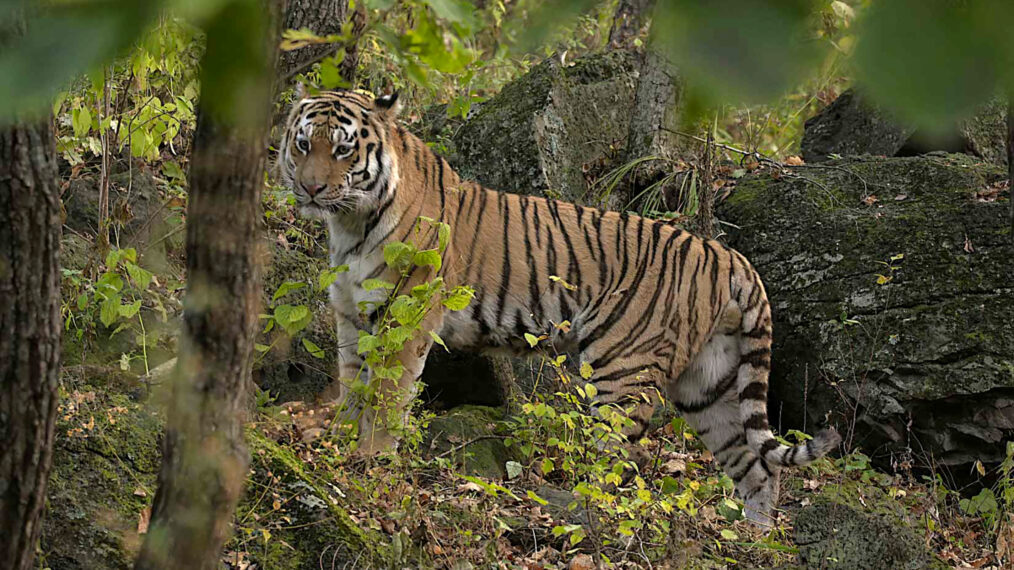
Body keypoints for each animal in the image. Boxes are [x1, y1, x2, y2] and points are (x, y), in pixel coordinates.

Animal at [277, 87, 839, 519]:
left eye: (344, 151)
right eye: (303, 144)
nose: (311, 188)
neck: (349, 223)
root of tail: (729, 256)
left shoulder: (406, 315)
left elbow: (386, 395)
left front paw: (369, 461)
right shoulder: (352, 314)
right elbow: (353, 384)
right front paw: (337, 444)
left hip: (624, 372)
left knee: (615, 462)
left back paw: (575, 509)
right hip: (709, 383)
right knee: (756, 466)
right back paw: (755, 536)